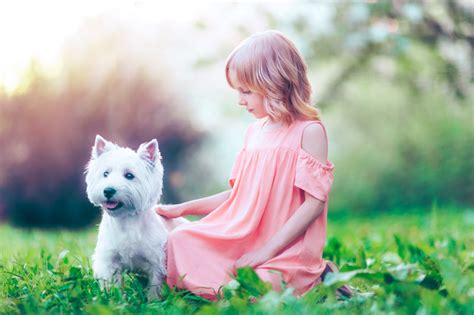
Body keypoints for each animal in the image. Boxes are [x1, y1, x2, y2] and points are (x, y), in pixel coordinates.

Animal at [84, 135, 182, 300]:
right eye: (105, 174)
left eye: (129, 175)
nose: (108, 190)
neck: (125, 220)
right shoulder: (108, 259)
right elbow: (111, 285)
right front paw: (113, 299)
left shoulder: (157, 261)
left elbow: (155, 285)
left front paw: (153, 301)